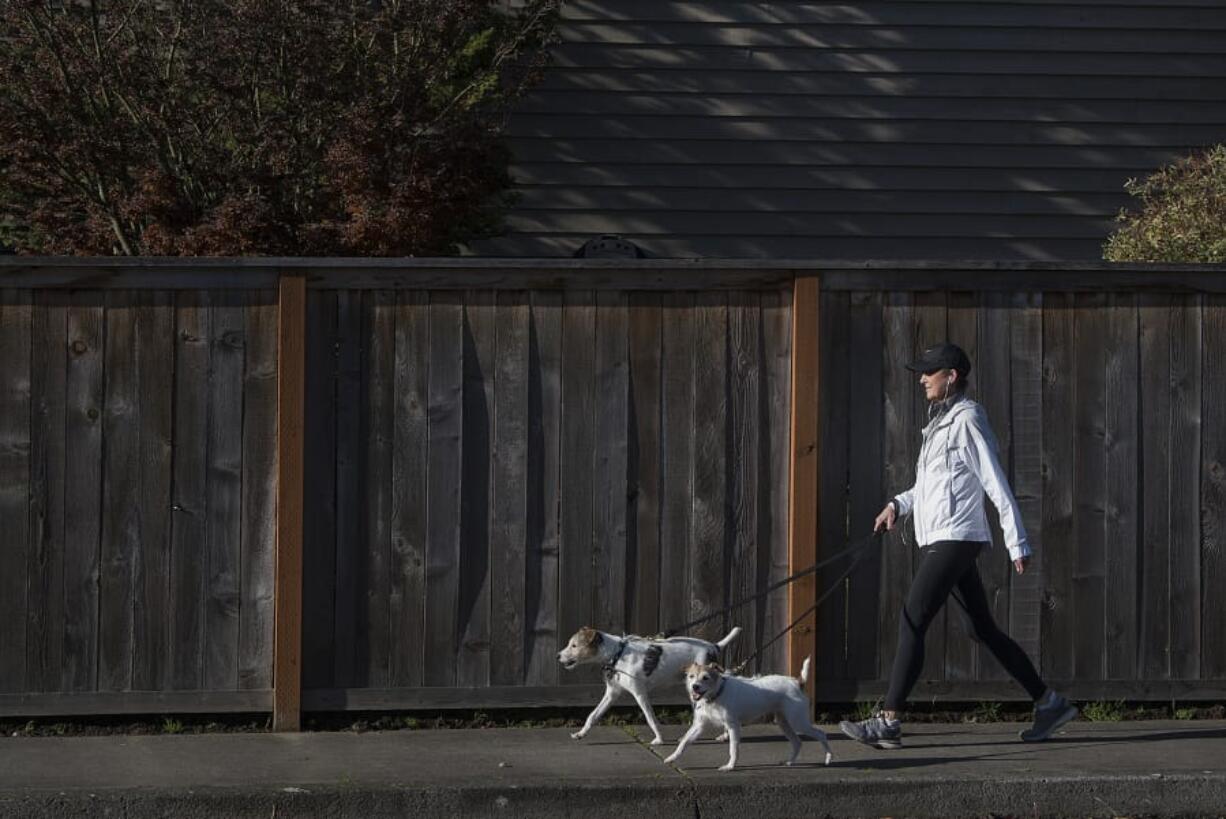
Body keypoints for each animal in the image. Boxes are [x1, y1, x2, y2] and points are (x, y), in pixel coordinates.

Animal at [561, 627, 740, 750]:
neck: (617, 655)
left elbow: (650, 718)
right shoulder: (612, 694)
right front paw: (580, 734)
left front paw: (659, 739)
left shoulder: (640, 693)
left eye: (574, 645)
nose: (557, 656)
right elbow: (593, 715)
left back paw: (723, 735)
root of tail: (713, 646)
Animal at [662, 657, 833, 769]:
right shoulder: (699, 726)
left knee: (821, 734)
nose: (695, 687)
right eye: (691, 676)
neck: (716, 694)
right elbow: (684, 742)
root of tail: (797, 682)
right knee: (797, 742)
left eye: (706, 677)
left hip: (798, 722)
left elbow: (733, 748)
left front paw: (730, 766)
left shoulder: (733, 726)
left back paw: (828, 758)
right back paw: (790, 762)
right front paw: (672, 758)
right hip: (784, 723)